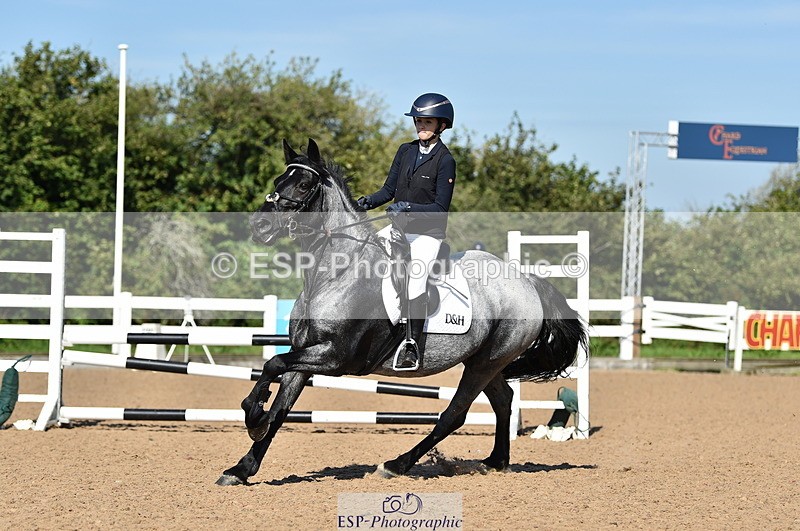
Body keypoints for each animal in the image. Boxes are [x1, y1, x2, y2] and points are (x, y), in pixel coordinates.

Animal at [216, 138, 588, 486]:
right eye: (279, 179)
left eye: (305, 184)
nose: (260, 227)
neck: (335, 273)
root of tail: (527, 282)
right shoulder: (307, 352)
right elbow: (281, 404)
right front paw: (242, 467)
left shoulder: (334, 357)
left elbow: (272, 365)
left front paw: (253, 417)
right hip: (485, 361)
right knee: (503, 400)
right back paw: (496, 461)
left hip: (486, 362)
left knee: (455, 413)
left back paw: (396, 465)